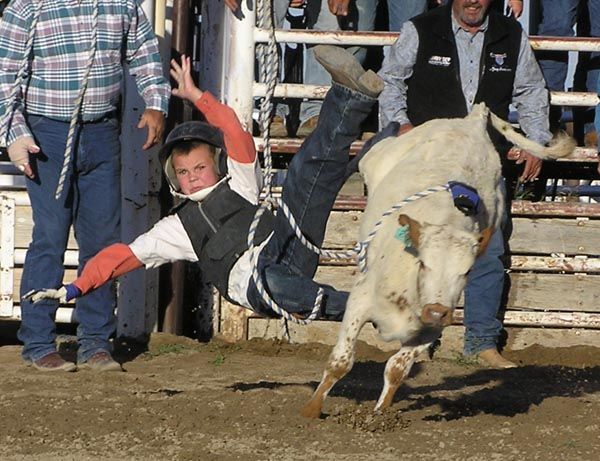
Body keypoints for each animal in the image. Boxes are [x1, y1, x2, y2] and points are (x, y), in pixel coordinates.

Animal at [302, 103, 576, 416]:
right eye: (423, 263)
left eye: (467, 271)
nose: (435, 311)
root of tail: (473, 120)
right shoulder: (360, 299)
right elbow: (341, 362)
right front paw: (311, 411)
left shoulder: (431, 329)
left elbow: (397, 368)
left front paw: (380, 414)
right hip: (380, 158)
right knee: (372, 150)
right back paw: (382, 131)